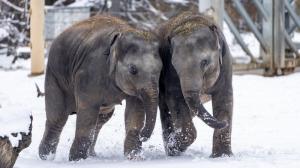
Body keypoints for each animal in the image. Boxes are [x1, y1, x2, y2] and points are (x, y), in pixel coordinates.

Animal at [39, 15, 163, 161]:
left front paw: (135, 157)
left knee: (102, 119)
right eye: (133, 70)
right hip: (55, 76)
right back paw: (46, 157)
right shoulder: (89, 74)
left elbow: (135, 110)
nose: (143, 136)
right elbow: (87, 112)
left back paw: (92, 155)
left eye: (161, 69)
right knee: (58, 117)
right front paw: (77, 160)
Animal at [158, 12, 233, 158]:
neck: (193, 22)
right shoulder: (169, 71)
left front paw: (222, 157)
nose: (224, 123)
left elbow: (224, 98)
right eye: (175, 65)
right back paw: (171, 150)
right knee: (166, 111)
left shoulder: (226, 64)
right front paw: (174, 146)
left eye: (204, 62)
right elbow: (175, 99)